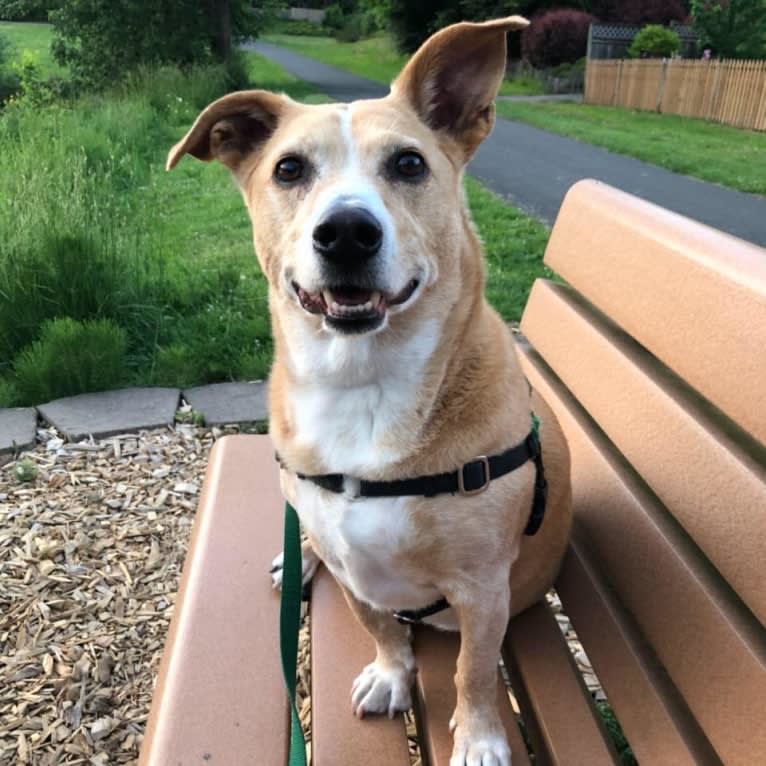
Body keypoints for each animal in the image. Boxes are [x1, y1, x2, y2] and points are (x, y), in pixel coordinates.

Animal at [171, 18, 572, 766]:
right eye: (289, 169)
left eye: (409, 164)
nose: (347, 232)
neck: (363, 386)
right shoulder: (353, 566)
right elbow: (380, 626)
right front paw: (392, 674)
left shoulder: (483, 590)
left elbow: (475, 668)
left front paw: (479, 737)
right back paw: (296, 560)